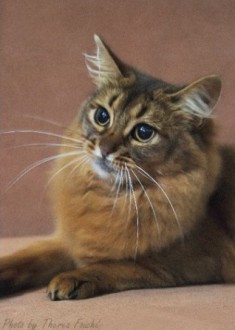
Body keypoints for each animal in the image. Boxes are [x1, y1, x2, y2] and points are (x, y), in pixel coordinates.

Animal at [0, 34, 235, 300]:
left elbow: (115, 264)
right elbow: (28, 256)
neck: (109, 198)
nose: (105, 149)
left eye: (143, 132)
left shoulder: (189, 260)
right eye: (102, 116)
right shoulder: (69, 240)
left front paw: (72, 277)